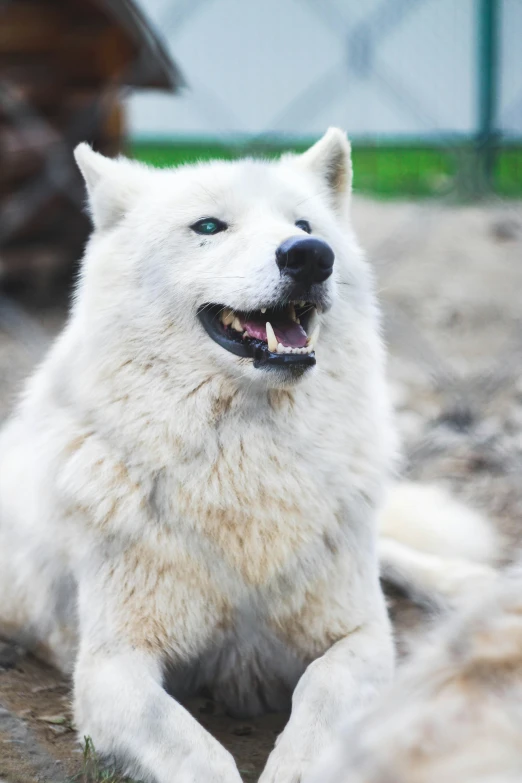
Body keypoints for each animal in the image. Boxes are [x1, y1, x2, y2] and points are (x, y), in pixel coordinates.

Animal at [0, 130, 496, 783]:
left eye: (304, 224)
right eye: (209, 226)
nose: (310, 255)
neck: (246, 459)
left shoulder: (362, 636)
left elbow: (322, 687)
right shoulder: (111, 665)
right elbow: (198, 751)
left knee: (393, 552)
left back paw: (476, 585)